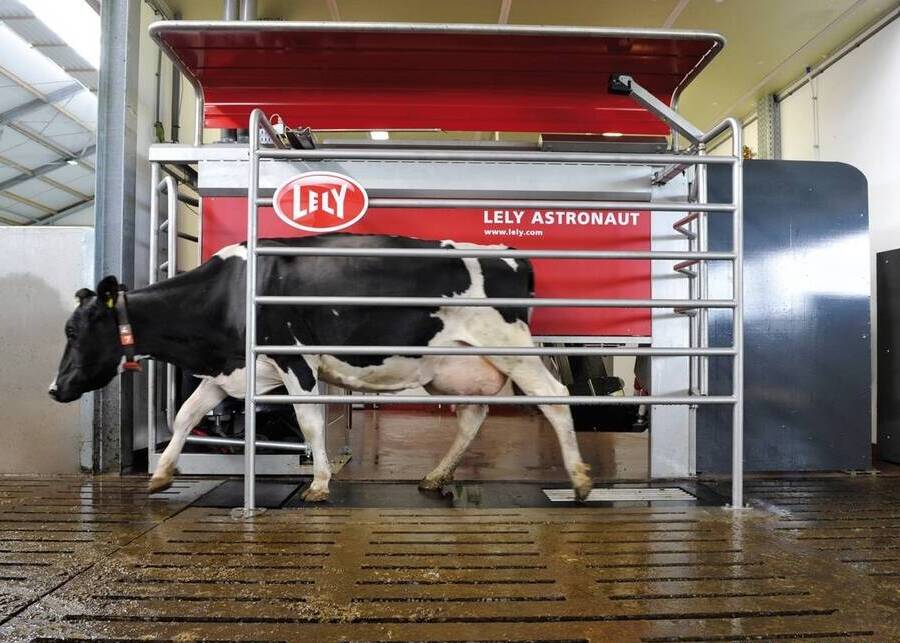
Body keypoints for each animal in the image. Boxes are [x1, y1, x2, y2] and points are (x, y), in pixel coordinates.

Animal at [49, 233, 593, 502]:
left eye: (73, 331)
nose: (55, 389)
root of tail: (511, 255)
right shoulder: (233, 370)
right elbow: (185, 415)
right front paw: (161, 475)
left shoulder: (296, 358)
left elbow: (309, 422)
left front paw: (319, 483)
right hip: (453, 365)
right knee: (472, 417)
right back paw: (436, 476)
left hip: (511, 346)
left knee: (554, 399)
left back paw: (581, 480)